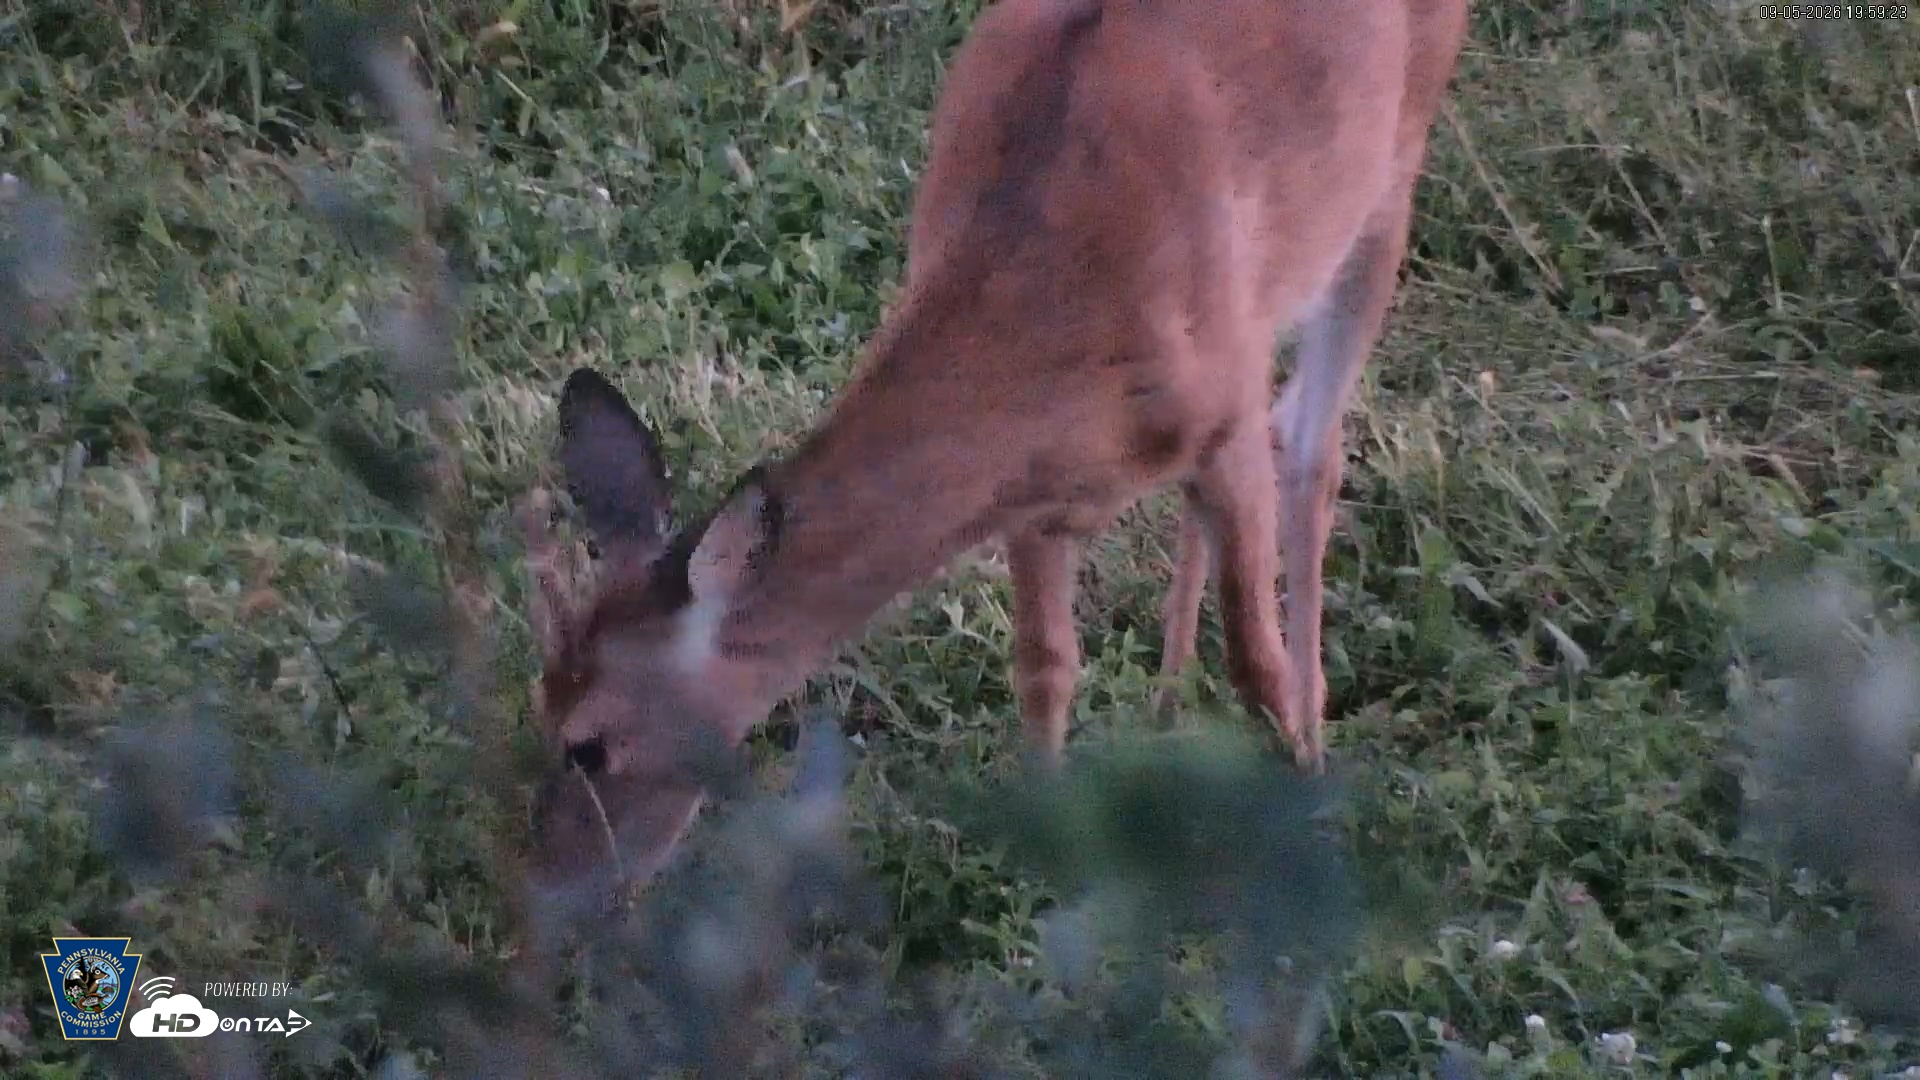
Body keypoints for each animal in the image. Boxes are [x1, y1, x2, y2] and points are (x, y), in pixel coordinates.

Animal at [520, 0, 1470, 888]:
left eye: (588, 745)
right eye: (539, 700)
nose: (550, 898)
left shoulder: (1225, 409)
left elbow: (1253, 661)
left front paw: (1305, 800)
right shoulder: (1034, 493)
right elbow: (1044, 665)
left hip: (1393, 162)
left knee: (1312, 442)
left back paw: (1310, 731)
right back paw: (1166, 714)